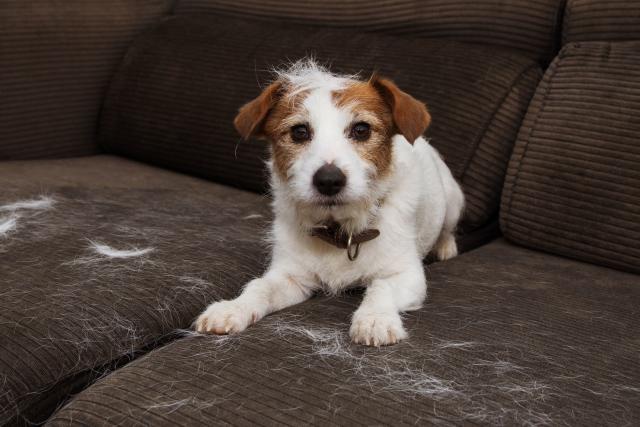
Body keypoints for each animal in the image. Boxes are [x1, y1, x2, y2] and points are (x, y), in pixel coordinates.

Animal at [195, 60, 464, 348]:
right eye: (299, 132)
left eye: (361, 129)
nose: (328, 180)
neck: (340, 231)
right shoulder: (290, 276)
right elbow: (259, 286)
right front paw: (232, 308)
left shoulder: (406, 275)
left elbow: (381, 288)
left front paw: (374, 319)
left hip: (453, 200)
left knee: (448, 228)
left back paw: (445, 247)